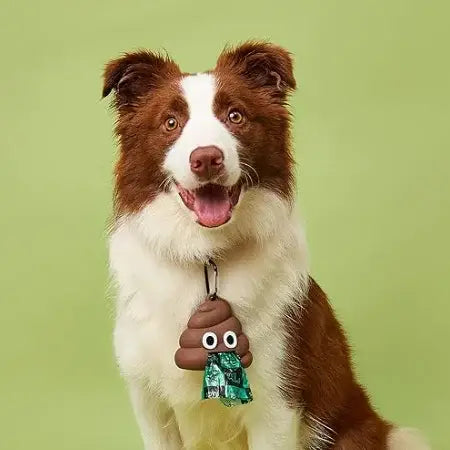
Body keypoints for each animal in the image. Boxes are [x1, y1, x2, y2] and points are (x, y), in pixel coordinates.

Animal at [103, 40, 428, 448]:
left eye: (235, 115)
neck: (206, 256)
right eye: (171, 123)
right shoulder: (151, 405)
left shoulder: (275, 401)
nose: (206, 158)